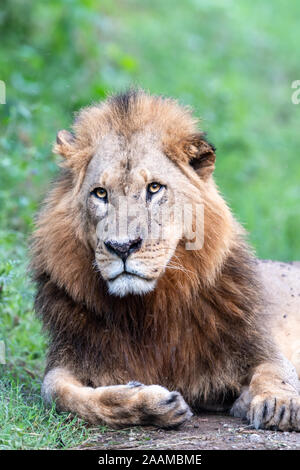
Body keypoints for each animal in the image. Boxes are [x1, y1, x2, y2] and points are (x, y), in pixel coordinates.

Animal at [30, 90, 300, 432]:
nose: (121, 247)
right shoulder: (72, 356)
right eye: (100, 193)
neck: (149, 309)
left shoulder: (255, 345)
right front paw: (146, 402)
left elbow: (277, 371)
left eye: (154, 188)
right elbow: (57, 392)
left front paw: (278, 405)